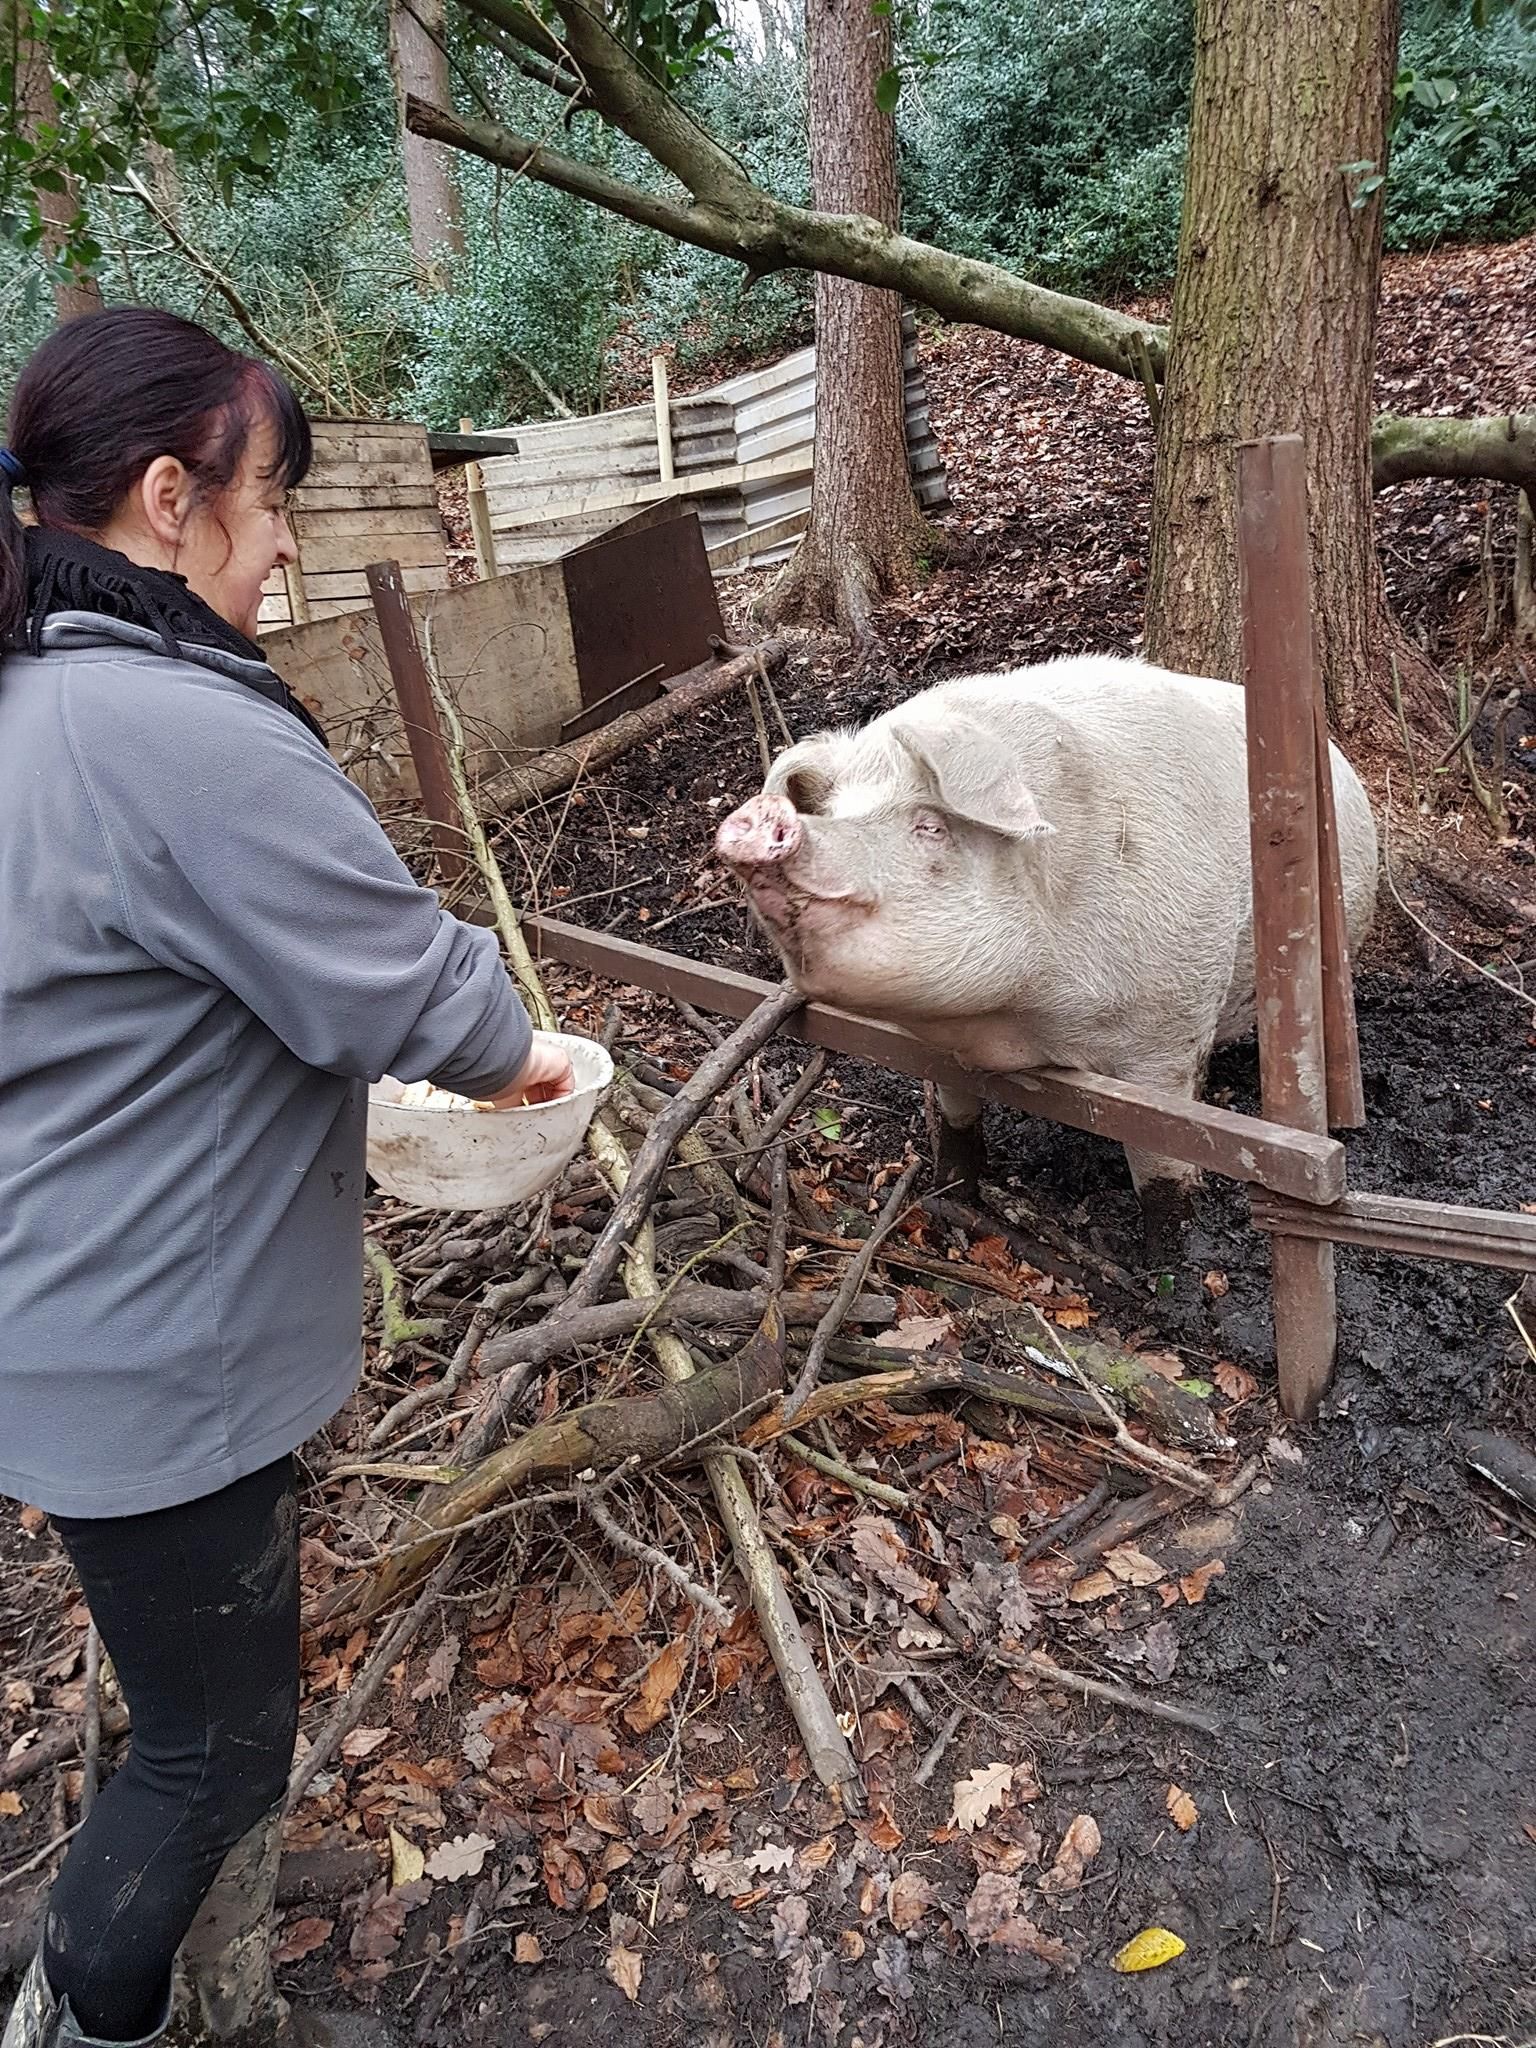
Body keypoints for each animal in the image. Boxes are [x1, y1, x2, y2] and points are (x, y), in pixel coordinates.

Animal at [715, 654, 1377, 1231]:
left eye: (930, 827)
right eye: (836, 815)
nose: (762, 817)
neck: (1021, 1019)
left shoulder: (1170, 1027)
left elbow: (1165, 1163)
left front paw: (1168, 1265)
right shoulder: (943, 1047)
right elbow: (955, 1116)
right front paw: (957, 1195)